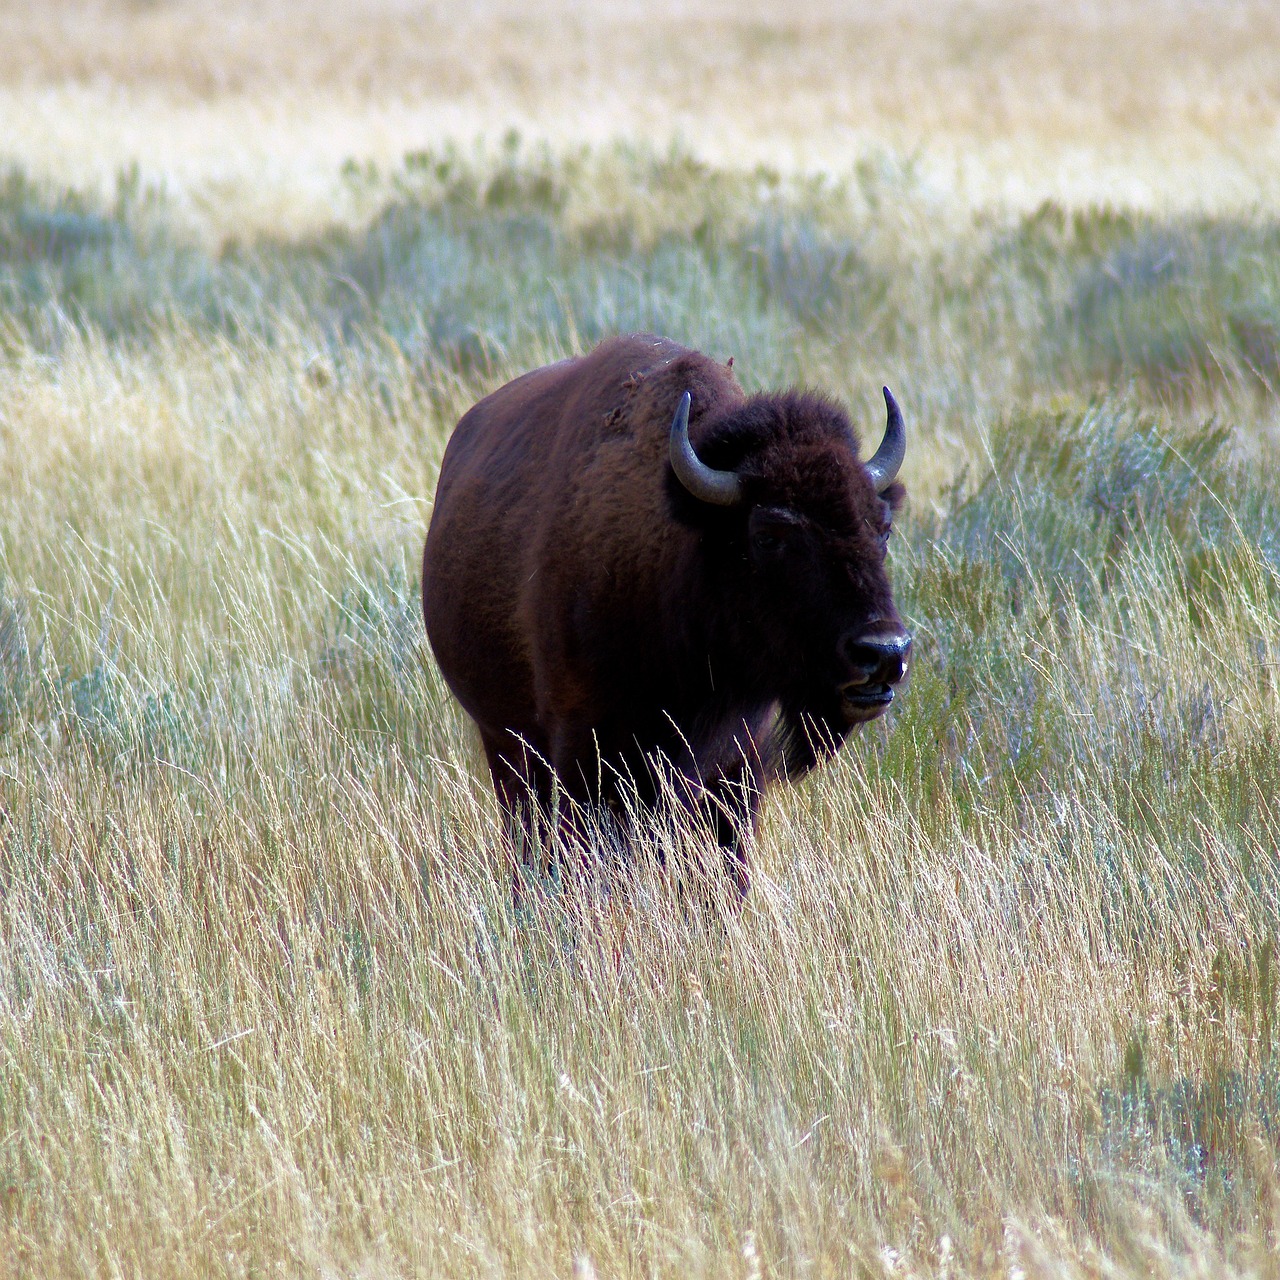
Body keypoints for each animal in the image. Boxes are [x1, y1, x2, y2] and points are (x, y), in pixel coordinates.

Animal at [419, 337, 911, 901]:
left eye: (882, 527)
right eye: (768, 534)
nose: (884, 652)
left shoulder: (737, 767)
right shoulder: (584, 753)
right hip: (507, 746)